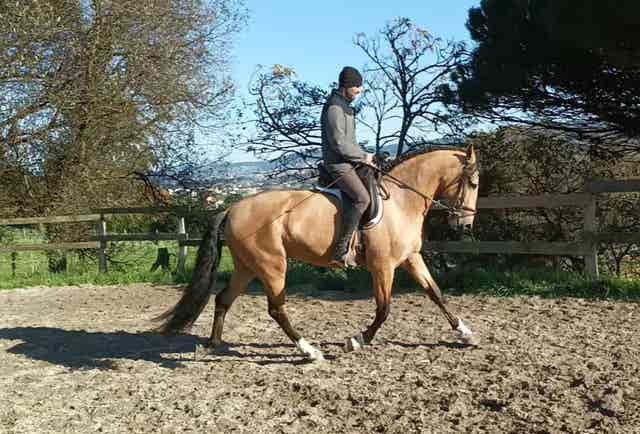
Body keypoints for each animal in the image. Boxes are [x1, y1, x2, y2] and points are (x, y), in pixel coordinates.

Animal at [156, 145, 480, 360]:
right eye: (474, 183)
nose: (464, 225)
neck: (401, 202)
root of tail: (233, 208)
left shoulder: (411, 259)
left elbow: (436, 294)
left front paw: (465, 333)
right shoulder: (383, 266)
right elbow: (383, 309)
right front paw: (356, 341)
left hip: (247, 266)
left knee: (223, 298)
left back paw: (213, 343)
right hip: (272, 266)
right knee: (276, 309)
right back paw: (309, 351)